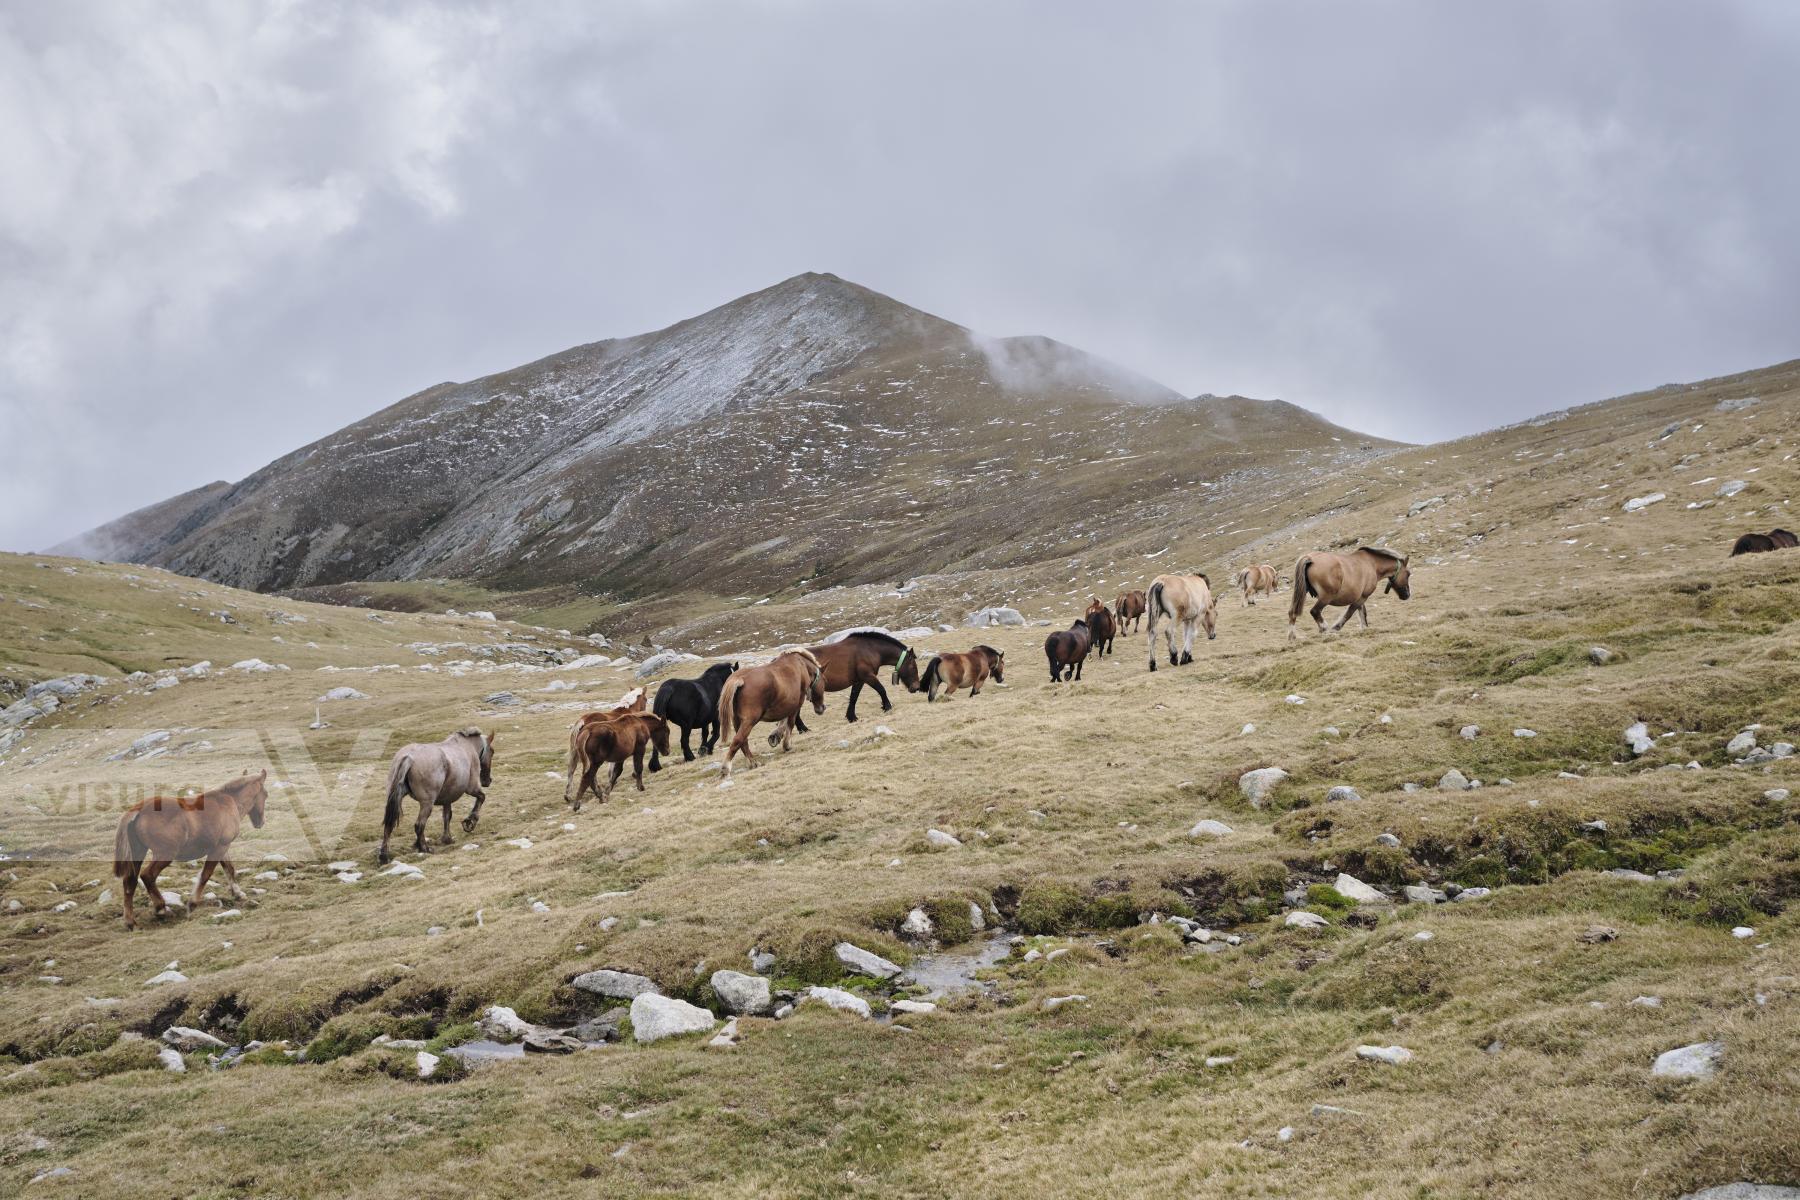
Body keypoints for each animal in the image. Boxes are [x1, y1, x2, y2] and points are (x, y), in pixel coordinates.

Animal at [112, 770, 264, 928]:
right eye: (265, 794)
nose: (260, 822)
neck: (228, 802)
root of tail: (139, 809)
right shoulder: (219, 848)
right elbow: (206, 875)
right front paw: (192, 904)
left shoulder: (222, 848)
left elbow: (230, 869)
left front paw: (238, 893)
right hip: (164, 854)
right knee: (147, 876)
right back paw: (161, 909)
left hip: (138, 852)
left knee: (130, 882)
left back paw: (130, 922)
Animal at [378, 723, 493, 863]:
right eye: (492, 751)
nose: (488, 781)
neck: (466, 745)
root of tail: (408, 757)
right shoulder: (471, 788)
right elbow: (481, 797)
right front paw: (470, 821)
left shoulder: (448, 797)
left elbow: (447, 816)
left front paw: (447, 838)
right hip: (427, 802)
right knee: (419, 825)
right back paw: (424, 848)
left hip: (394, 798)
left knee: (389, 825)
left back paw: (384, 856)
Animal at [716, 647, 828, 780]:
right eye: (824, 681)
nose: (822, 708)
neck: (802, 665)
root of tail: (739, 679)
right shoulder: (797, 703)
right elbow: (791, 722)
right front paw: (787, 744)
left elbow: (784, 721)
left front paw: (776, 736)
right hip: (750, 721)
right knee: (738, 740)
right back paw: (726, 769)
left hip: (738, 721)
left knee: (743, 741)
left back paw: (753, 762)